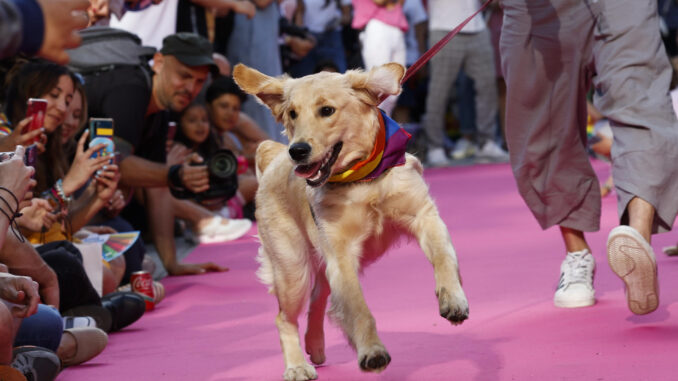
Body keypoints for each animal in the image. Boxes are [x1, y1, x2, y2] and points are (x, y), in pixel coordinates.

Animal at [232, 62, 468, 380]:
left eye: (327, 110)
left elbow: (444, 258)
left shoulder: (424, 215)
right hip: (293, 269)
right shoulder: (341, 255)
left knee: (318, 299)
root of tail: (274, 158)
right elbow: (358, 308)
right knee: (284, 317)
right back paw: (296, 365)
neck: (363, 179)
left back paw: (315, 345)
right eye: (292, 113)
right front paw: (372, 350)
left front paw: (453, 299)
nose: (298, 150)